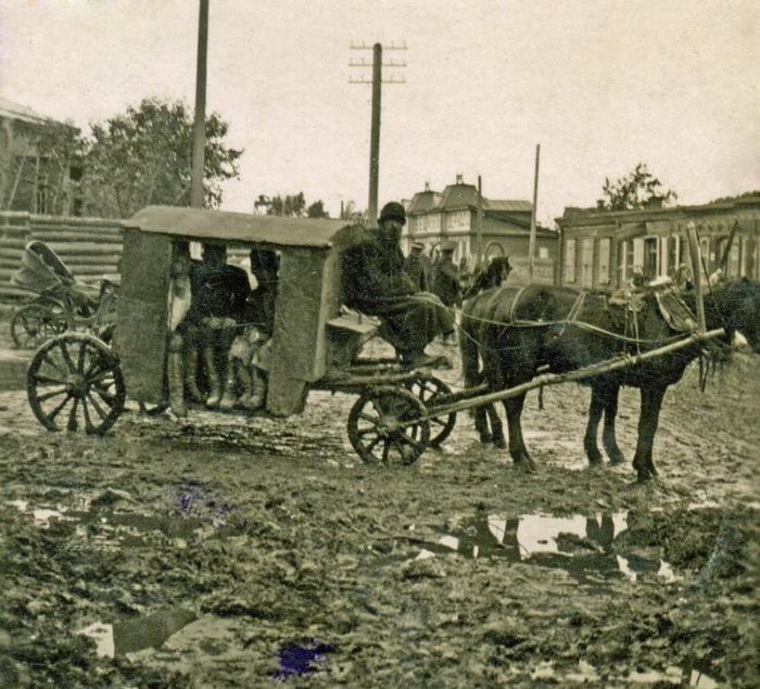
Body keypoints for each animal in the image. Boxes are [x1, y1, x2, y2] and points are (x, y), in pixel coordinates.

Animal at [460, 256, 512, 446]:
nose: (465, 292)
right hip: (481, 353)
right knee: (487, 384)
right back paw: (495, 433)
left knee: (482, 382)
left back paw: (486, 429)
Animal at [480, 278, 760, 478]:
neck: (679, 322)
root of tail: (500, 303)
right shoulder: (653, 385)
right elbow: (647, 424)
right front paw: (643, 469)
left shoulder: (615, 380)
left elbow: (613, 414)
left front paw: (632, 462)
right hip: (520, 368)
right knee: (513, 407)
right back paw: (521, 456)